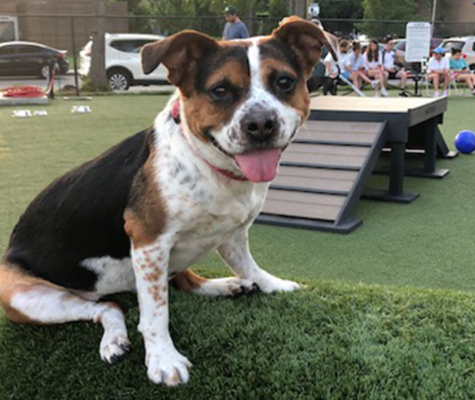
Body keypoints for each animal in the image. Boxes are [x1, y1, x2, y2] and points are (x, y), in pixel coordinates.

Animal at [0, 17, 334, 386]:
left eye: (284, 82)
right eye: (220, 90)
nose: (260, 123)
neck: (210, 166)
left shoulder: (232, 233)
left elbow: (247, 264)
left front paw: (270, 285)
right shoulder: (149, 244)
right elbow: (156, 312)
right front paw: (163, 359)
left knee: (183, 279)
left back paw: (224, 286)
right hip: (27, 297)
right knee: (108, 307)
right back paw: (114, 340)